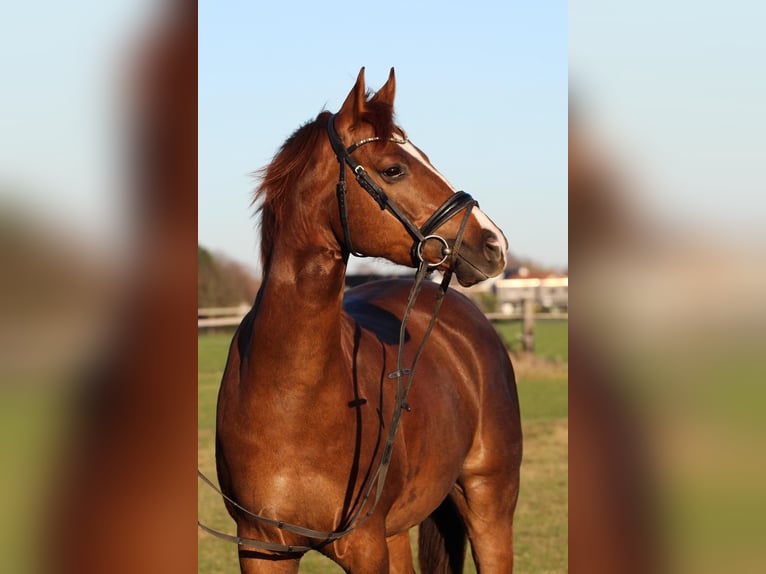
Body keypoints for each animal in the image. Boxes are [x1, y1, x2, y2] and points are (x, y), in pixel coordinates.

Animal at [213, 68, 522, 573]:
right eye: (394, 169)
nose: (494, 243)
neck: (289, 398)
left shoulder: (365, 547)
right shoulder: (261, 548)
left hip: (489, 504)